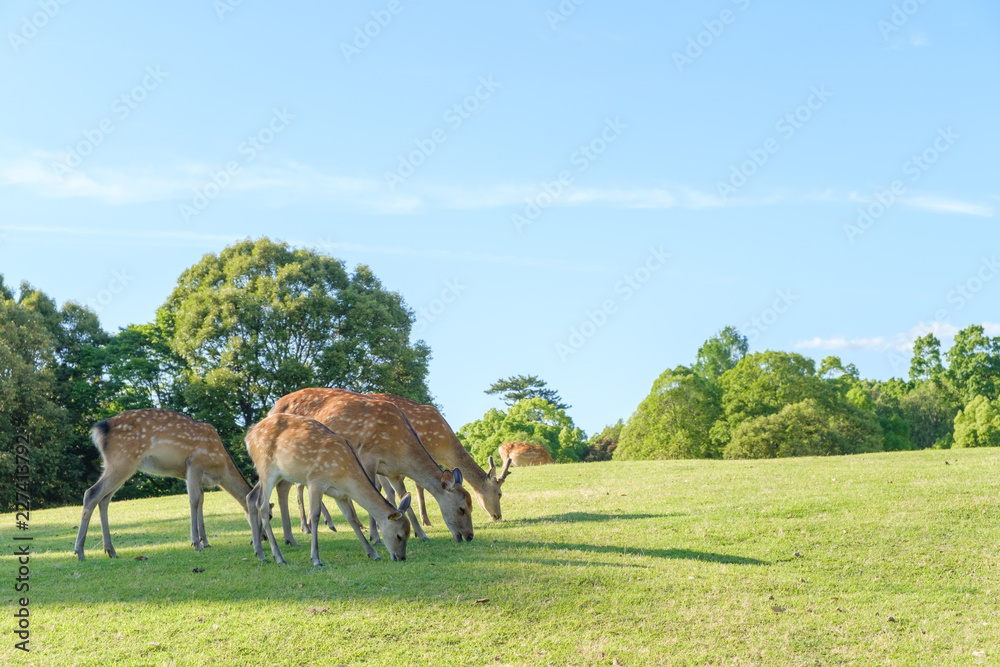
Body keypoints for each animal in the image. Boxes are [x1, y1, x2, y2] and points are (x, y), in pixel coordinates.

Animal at [73, 409, 253, 561]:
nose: (257, 540)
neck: (222, 470)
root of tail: (98, 429)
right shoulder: (194, 464)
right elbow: (194, 501)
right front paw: (197, 544)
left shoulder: (193, 477)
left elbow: (201, 501)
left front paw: (205, 541)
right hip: (122, 460)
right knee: (91, 493)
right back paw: (80, 552)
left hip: (120, 465)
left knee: (104, 499)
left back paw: (111, 550)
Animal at [245, 413, 412, 565]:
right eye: (399, 536)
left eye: (409, 533)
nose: (401, 557)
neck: (345, 475)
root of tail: (248, 435)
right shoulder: (315, 481)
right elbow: (315, 515)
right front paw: (316, 559)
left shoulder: (340, 495)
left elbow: (351, 518)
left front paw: (373, 553)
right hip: (266, 468)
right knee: (262, 506)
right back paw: (279, 557)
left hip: (275, 473)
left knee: (251, 497)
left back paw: (260, 554)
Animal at [268, 388, 474, 544]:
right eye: (462, 508)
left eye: (472, 507)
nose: (469, 536)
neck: (401, 451)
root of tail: (271, 409)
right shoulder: (368, 457)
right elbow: (374, 491)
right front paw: (375, 537)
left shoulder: (392, 472)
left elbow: (402, 496)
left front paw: (422, 534)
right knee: (284, 486)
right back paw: (292, 536)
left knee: (284, 486)